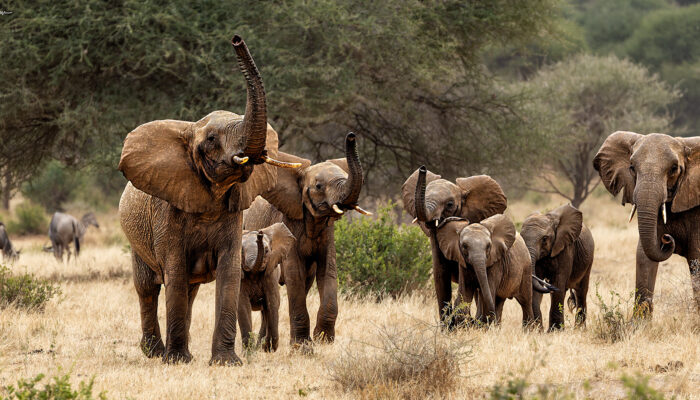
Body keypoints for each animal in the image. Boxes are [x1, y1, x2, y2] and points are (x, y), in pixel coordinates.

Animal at [239, 223, 296, 352]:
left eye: (266, 251)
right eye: (241, 251)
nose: (259, 234)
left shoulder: (271, 274)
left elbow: (272, 302)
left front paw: (268, 348)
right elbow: (243, 305)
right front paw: (248, 351)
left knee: (267, 311)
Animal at [592, 131, 700, 316]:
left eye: (674, 169)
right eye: (632, 167)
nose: (667, 239)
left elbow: (696, 257)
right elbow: (644, 256)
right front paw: (639, 323)